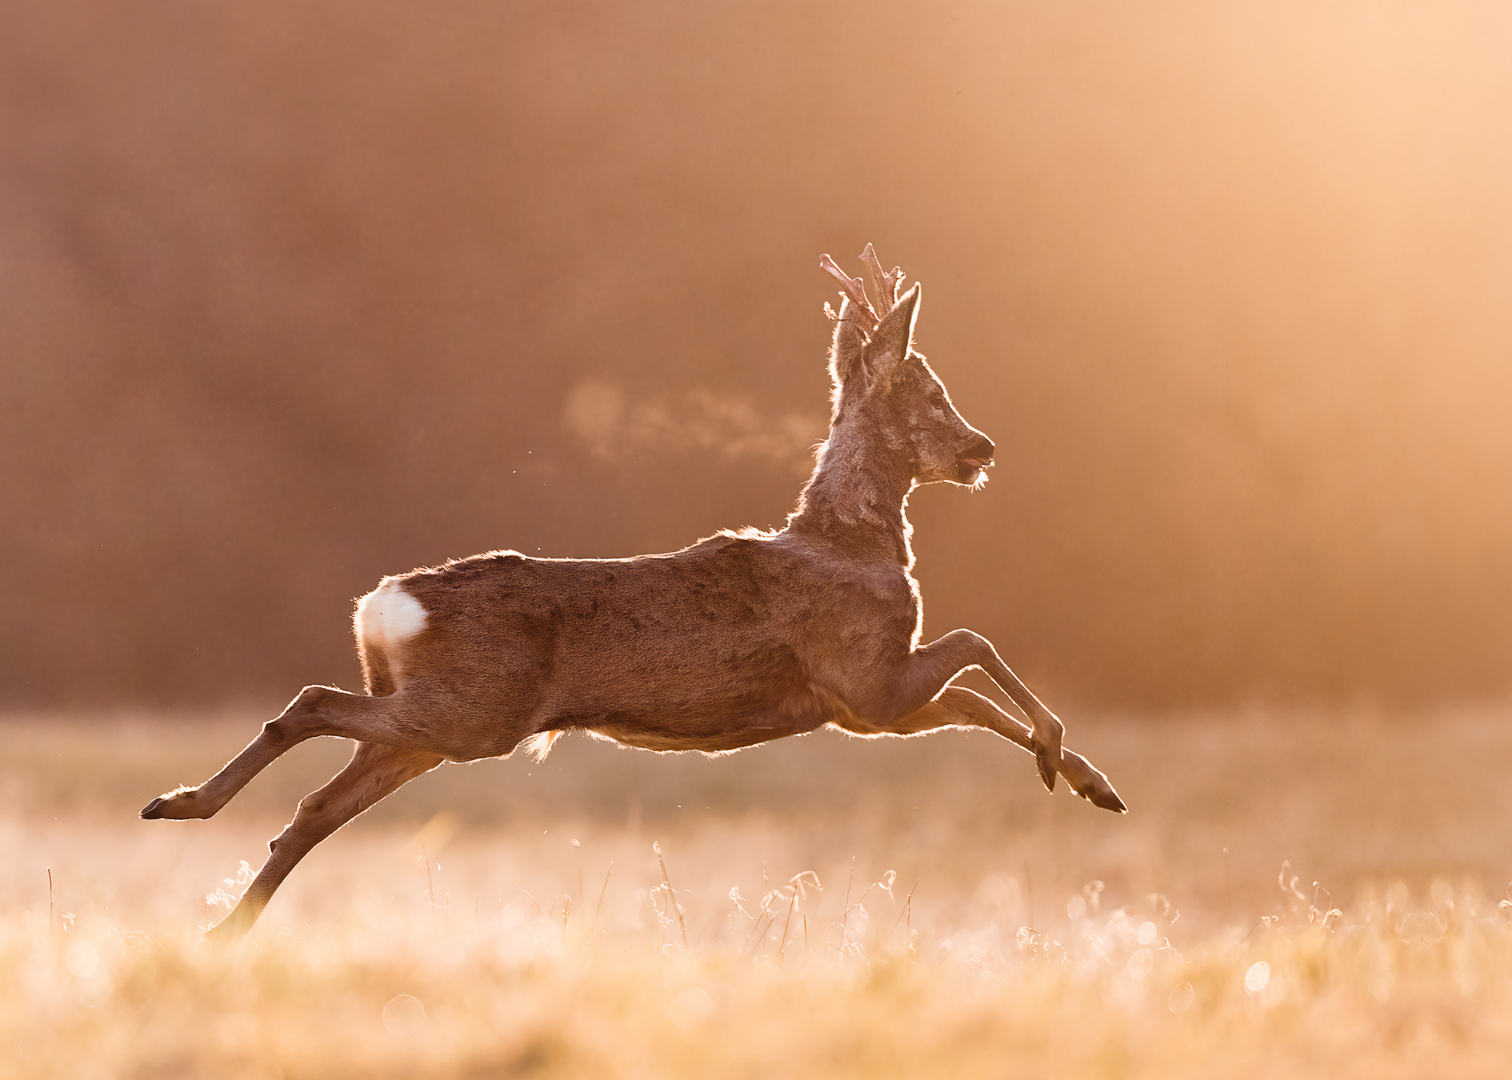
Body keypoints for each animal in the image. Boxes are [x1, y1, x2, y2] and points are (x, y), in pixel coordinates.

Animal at [144, 248, 1124, 937]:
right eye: (928, 388)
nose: (982, 449)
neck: (850, 543)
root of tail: (386, 606)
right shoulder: (865, 679)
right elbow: (975, 650)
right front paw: (1071, 762)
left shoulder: (863, 706)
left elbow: (973, 693)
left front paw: (1080, 779)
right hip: (473, 715)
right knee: (308, 704)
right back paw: (179, 809)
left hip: (435, 724)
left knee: (314, 808)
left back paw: (221, 919)